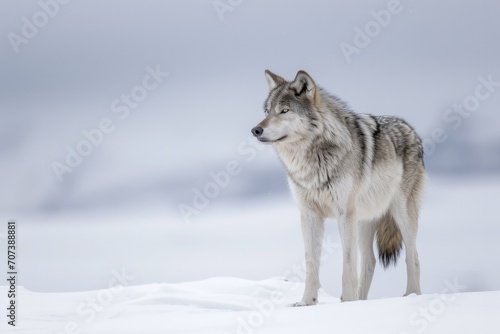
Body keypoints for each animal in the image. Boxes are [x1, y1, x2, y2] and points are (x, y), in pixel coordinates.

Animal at [252, 70, 424, 306]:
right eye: (267, 111)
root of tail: (410, 128)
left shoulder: (344, 214)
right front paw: (307, 302)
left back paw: (412, 296)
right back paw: (362, 301)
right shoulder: (309, 215)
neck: (311, 162)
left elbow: (348, 264)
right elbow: (311, 264)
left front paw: (348, 302)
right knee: (369, 262)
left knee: (413, 257)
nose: (255, 130)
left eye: (284, 111)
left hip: (401, 214)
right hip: (364, 221)